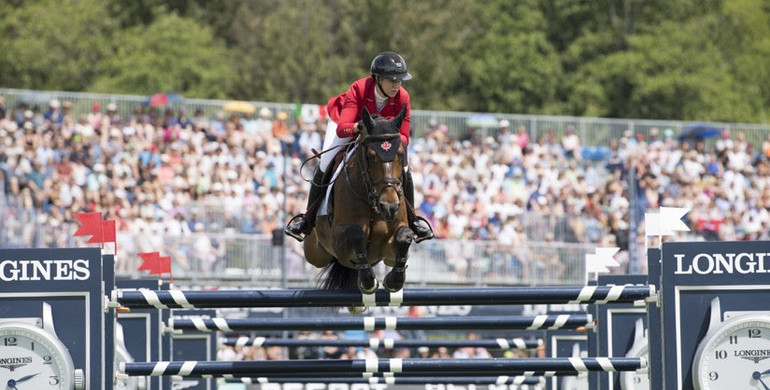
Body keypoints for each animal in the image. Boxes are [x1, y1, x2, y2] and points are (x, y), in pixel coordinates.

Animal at [304, 106, 416, 304]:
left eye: (401, 154)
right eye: (371, 156)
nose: (389, 207)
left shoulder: (388, 251)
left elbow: (405, 236)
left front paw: (393, 280)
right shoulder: (338, 243)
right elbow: (355, 233)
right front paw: (369, 282)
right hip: (315, 253)